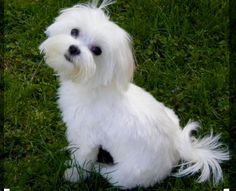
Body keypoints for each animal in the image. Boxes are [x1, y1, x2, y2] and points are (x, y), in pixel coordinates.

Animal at [39, 0, 230, 188]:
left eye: (97, 50)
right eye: (74, 31)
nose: (73, 49)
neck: (92, 85)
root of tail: (177, 148)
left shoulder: (86, 138)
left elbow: (81, 159)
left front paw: (73, 174)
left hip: (124, 174)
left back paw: (100, 168)